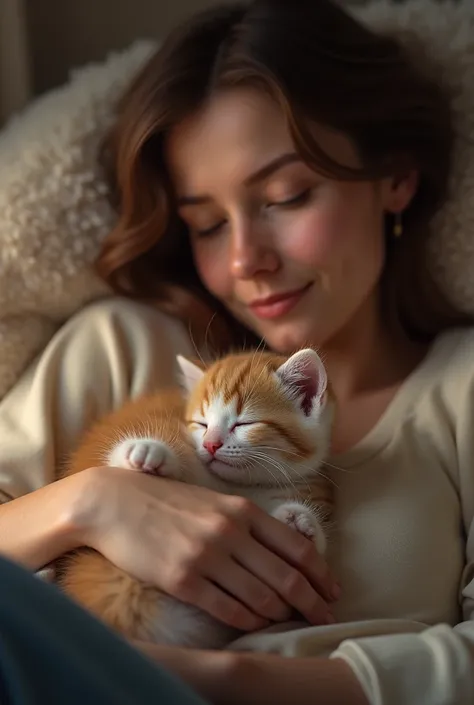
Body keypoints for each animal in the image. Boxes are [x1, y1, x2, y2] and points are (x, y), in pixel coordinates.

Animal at [60, 346, 334, 648]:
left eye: (244, 423)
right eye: (202, 424)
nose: (210, 444)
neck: (235, 486)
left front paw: (299, 522)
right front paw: (146, 453)